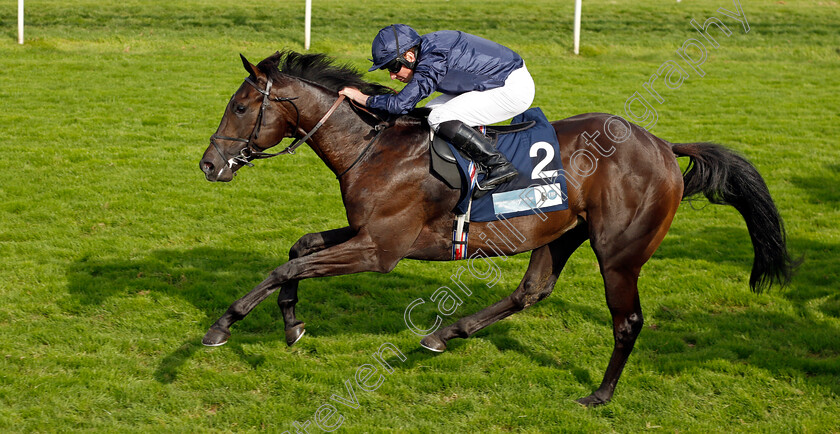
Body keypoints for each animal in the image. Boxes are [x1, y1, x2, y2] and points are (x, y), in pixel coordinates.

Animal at [197, 51, 796, 406]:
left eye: (242, 106)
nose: (207, 165)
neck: (374, 146)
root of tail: (664, 145)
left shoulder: (380, 249)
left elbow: (287, 266)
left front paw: (223, 326)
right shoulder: (364, 233)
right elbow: (297, 250)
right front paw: (292, 322)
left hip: (619, 254)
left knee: (627, 321)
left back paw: (600, 396)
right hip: (558, 233)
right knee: (532, 291)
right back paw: (443, 334)